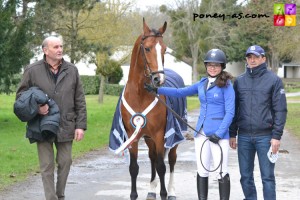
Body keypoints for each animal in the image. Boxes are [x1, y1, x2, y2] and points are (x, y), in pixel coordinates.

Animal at [109, 18, 186, 200]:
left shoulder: (159, 134)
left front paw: (164, 193)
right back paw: (151, 190)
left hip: (172, 136)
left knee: (171, 160)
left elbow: (161, 167)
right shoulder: (133, 135)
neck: (140, 95)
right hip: (149, 138)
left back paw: (171, 192)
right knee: (152, 158)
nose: (159, 79)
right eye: (147, 48)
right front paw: (134, 194)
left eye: (164, 49)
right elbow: (134, 168)